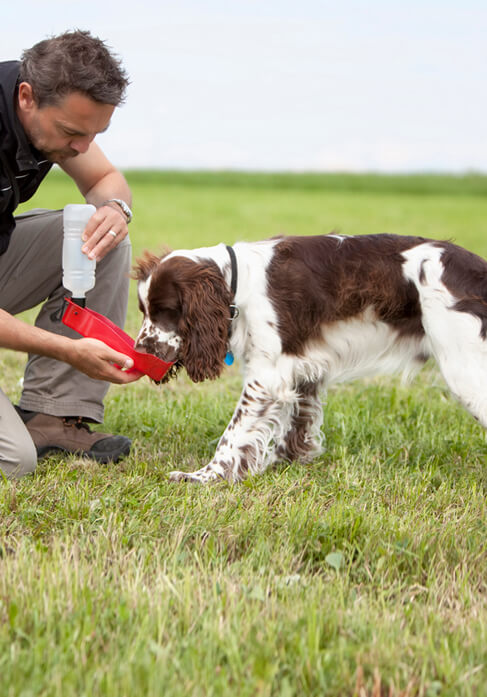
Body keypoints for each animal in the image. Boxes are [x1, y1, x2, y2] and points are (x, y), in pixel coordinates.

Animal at [132, 234, 487, 484]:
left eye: (166, 310)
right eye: (143, 310)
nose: (142, 349)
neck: (238, 285)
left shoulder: (265, 375)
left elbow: (232, 434)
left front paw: (204, 476)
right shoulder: (303, 366)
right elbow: (296, 421)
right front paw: (288, 461)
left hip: (465, 371)